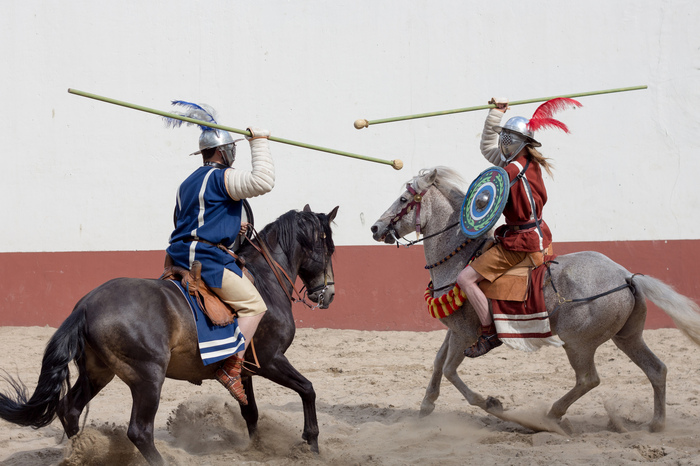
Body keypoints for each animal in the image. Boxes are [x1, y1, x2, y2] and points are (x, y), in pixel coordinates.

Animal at [0, 206, 340, 464]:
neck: (265, 282)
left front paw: (259, 450)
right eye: (329, 248)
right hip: (148, 377)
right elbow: (308, 390)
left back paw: (82, 451)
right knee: (139, 431)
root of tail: (85, 306)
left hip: (98, 373)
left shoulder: (245, 371)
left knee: (70, 410)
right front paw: (311, 443)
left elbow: (251, 413)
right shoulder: (271, 361)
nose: (328, 294)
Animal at [372, 167, 700, 434]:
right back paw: (656, 424)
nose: (376, 228)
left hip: (578, 344)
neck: (458, 258)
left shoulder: (464, 332)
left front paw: (491, 403)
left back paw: (551, 416)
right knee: (656, 369)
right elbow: (439, 363)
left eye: (403, 199)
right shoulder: (456, 331)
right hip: (628, 338)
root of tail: (626, 276)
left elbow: (451, 370)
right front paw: (426, 406)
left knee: (588, 379)